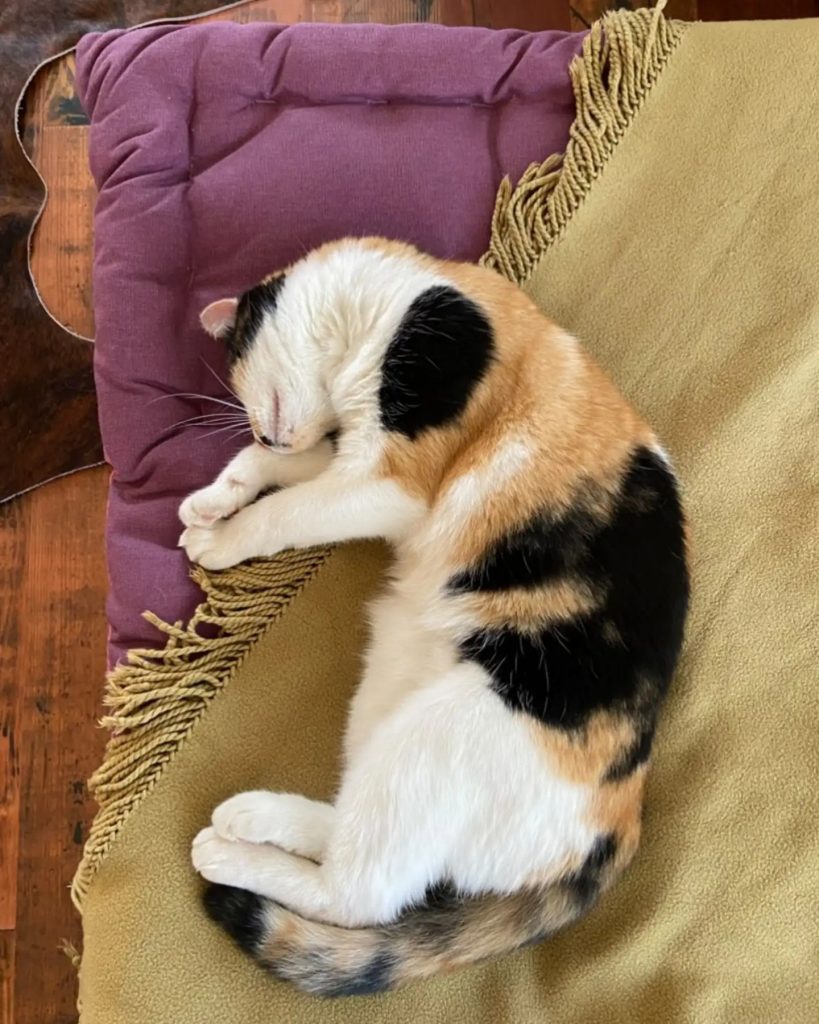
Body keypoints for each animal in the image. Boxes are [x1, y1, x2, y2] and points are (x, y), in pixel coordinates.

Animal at [182, 237, 687, 991]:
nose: (272, 436)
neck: (389, 300)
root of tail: (621, 821)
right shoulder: (343, 459)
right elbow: (281, 475)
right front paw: (214, 500)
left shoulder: (386, 480)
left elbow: (286, 512)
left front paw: (223, 536)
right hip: (385, 706)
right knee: (361, 839)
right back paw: (252, 816)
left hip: (438, 740)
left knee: (361, 896)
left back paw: (226, 855)